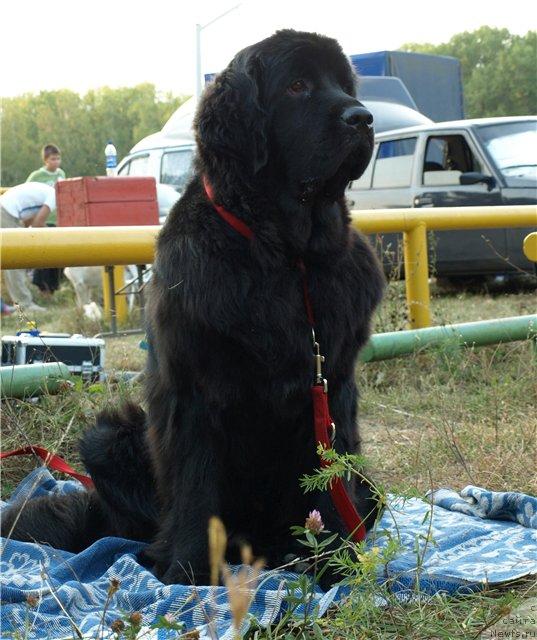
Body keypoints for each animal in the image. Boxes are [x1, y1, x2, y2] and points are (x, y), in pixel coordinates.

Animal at [2, 31, 384, 592]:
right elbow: (196, 486)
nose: (363, 117)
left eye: (343, 84)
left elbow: (329, 475)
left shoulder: (332, 385)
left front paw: (336, 558)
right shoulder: (193, 392)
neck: (283, 254)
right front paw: (187, 568)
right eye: (297, 86)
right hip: (106, 439)